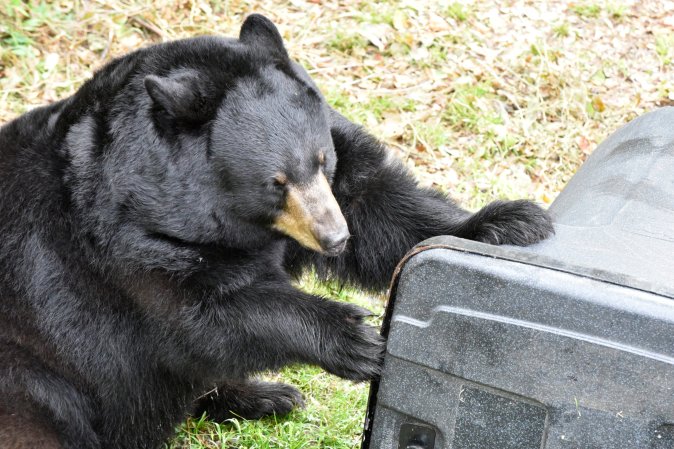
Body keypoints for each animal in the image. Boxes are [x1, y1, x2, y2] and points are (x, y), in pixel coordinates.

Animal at [0, 14, 552, 448]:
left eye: (321, 159)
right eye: (275, 182)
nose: (334, 239)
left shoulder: (336, 184)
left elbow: (379, 207)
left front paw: (508, 222)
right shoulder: (134, 249)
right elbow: (210, 314)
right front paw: (356, 338)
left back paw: (266, 395)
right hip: (33, 377)